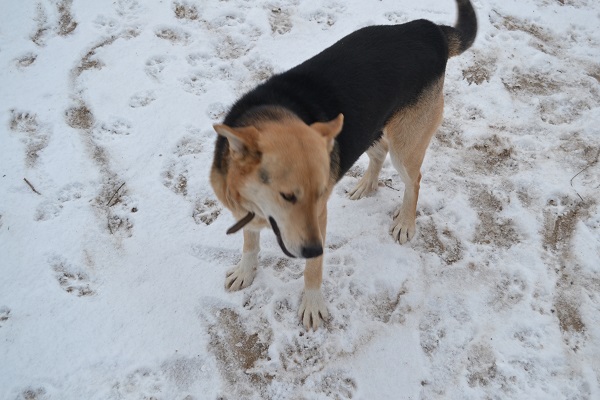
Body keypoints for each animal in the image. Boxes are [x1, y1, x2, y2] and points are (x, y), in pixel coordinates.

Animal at [210, 0, 477, 330]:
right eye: (287, 196)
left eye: (319, 194)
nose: (315, 248)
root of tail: (429, 30)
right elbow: (250, 243)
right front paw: (245, 272)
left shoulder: (317, 219)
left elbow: (312, 268)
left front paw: (312, 305)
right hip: (367, 126)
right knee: (379, 153)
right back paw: (366, 185)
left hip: (405, 144)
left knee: (413, 180)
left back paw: (405, 222)